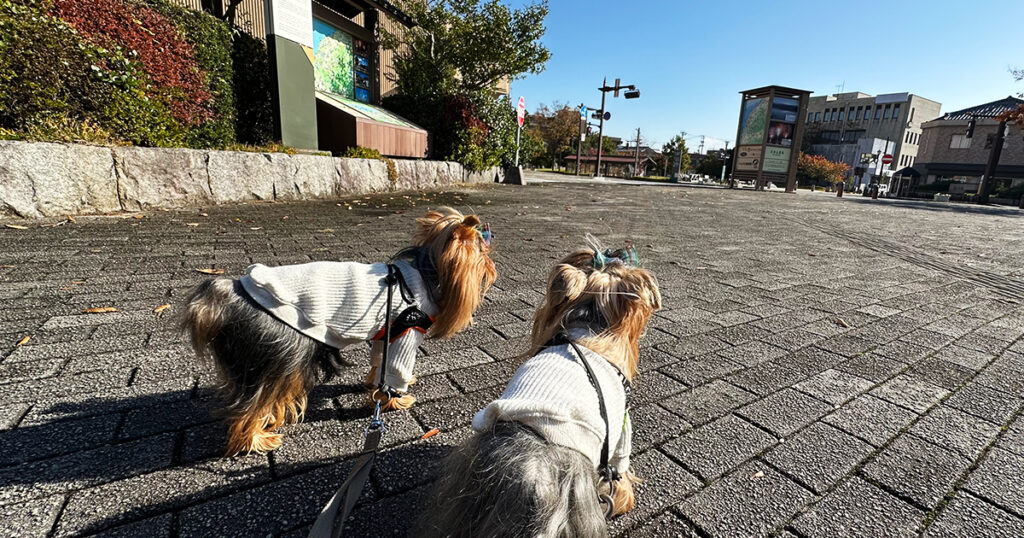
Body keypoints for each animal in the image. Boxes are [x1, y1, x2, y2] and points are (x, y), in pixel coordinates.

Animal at [415, 243, 663, 536]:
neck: (588, 325)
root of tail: (530, 479)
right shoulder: (621, 427)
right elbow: (621, 467)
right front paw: (624, 498)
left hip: (467, 495)